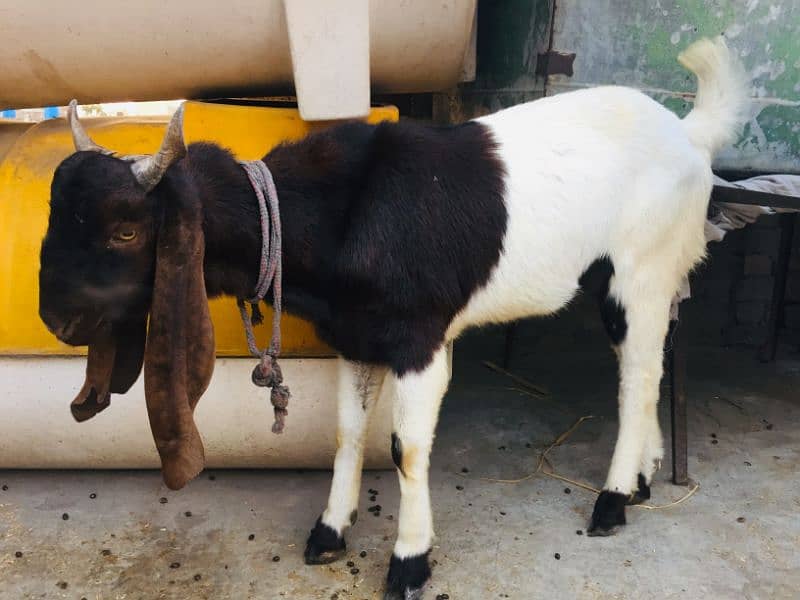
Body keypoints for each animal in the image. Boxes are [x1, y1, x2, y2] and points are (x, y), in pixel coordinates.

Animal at [40, 37, 748, 600]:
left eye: (127, 231)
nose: (56, 318)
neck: (344, 211)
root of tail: (689, 133)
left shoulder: (419, 339)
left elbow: (406, 449)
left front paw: (409, 562)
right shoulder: (358, 336)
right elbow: (348, 434)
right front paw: (330, 531)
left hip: (640, 271)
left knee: (637, 379)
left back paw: (613, 500)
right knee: (649, 367)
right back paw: (644, 477)